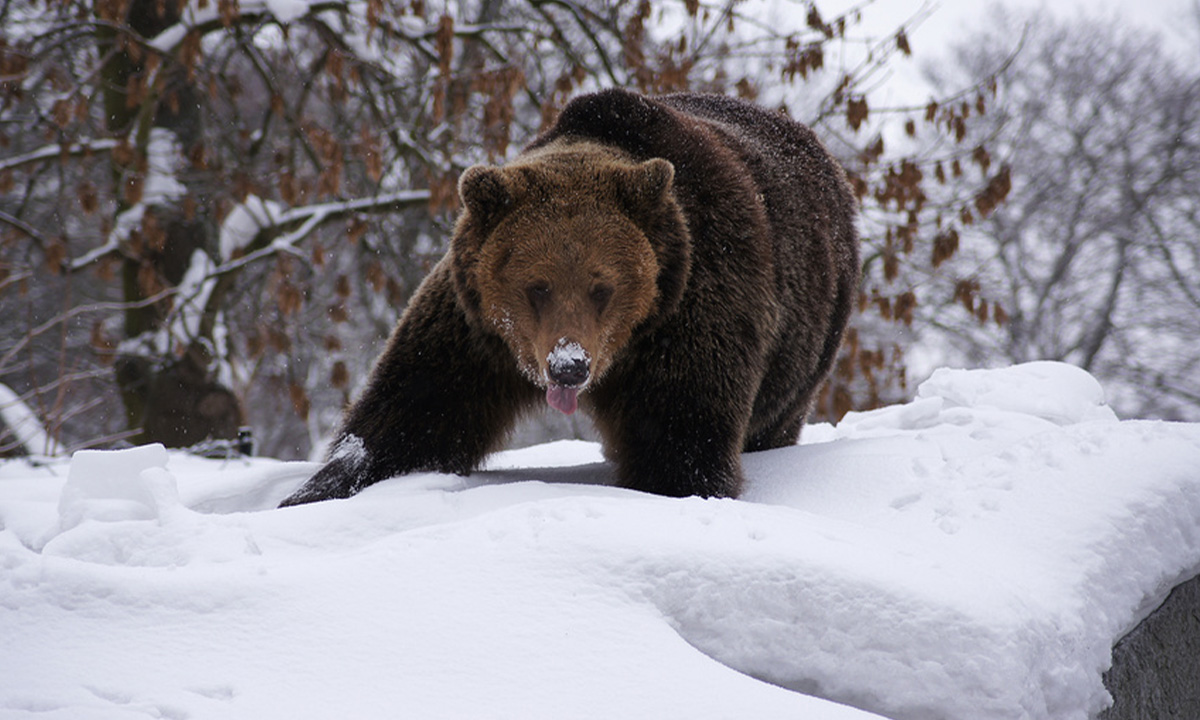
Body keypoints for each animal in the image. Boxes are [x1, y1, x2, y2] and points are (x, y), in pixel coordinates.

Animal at [278, 88, 864, 506]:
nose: (568, 365)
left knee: (774, 418)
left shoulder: (692, 309)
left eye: (603, 286)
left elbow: (681, 437)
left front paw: (673, 486)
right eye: (536, 285)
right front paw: (312, 493)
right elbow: (410, 412)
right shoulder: (476, 328)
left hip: (805, 344)